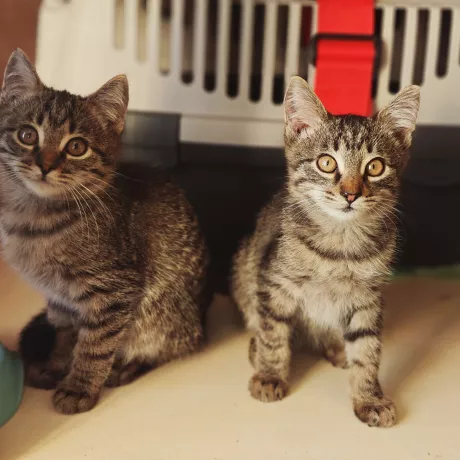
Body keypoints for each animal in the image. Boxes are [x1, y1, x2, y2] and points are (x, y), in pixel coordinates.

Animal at [0, 49, 210, 414]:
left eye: (76, 147)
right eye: (27, 135)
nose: (45, 164)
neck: (34, 219)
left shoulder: (114, 289)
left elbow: (94, 345)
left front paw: (79, 386)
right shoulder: (59, 301)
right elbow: (65, 335)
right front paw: (57, 366)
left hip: (165, 316)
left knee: (172, 345)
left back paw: (128, 366)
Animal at [231, 76, 420, 427]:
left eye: (375, 167)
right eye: (327, 162)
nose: (350, 194)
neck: (340, 245)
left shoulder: (367, 299)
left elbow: (367, 349)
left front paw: (369, 397)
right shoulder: (273, 282)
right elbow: (273, 332)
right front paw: (270, 374)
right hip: (243, 267)